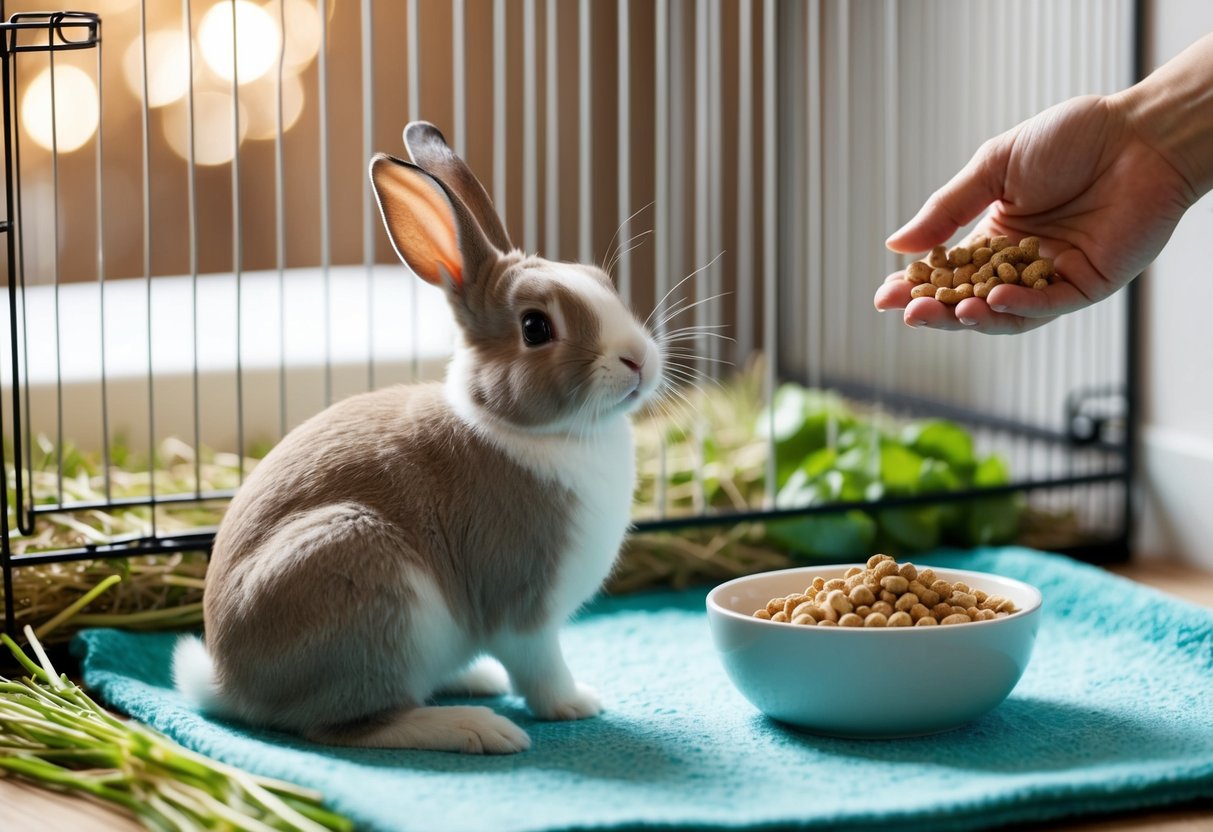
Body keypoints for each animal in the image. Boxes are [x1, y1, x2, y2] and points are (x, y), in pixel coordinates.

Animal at [172, 121, 664, 754]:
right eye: (535, 327)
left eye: (604, 284)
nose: (638, 360)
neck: (522, 427)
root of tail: (230, 685)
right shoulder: (523, 605)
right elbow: (540, 668)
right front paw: (577, 704)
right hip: (370, 591)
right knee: (346, 727)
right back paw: (476, 727)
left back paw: (473, 681)